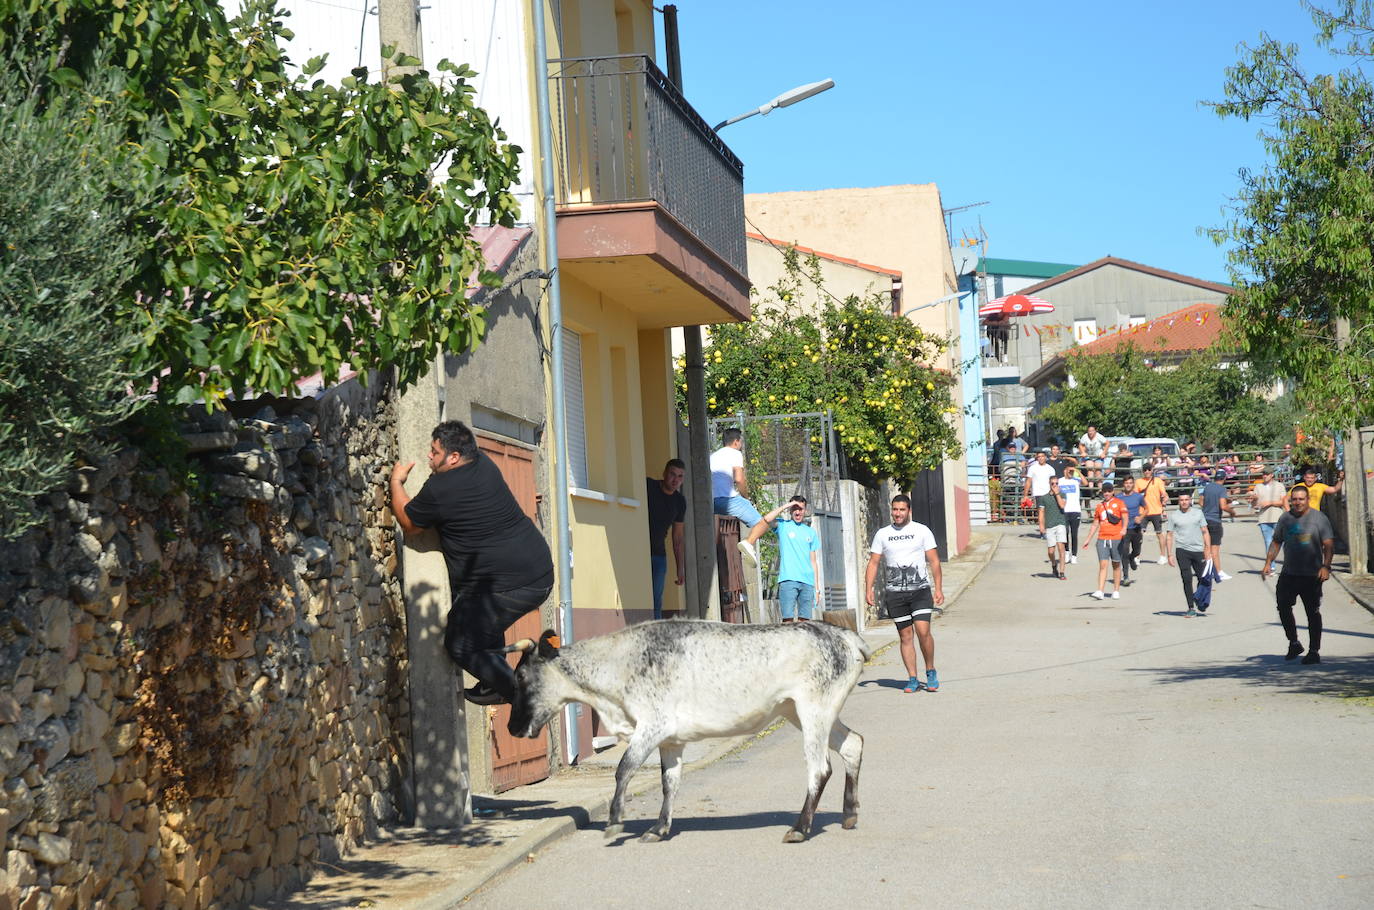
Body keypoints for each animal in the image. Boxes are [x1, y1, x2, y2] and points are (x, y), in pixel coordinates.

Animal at [505, 624, 868, 846]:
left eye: (520, 676)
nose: (511, 728)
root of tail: (843, 635)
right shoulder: (671, 739)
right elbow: (670, 781)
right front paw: (658, 828)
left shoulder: (652, 726)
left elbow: (624, 769)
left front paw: (615, 821)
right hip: (802, 712)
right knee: (853, 744)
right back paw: (849, 815)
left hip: (812, 712)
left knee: (819, 768)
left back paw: (799, 828)